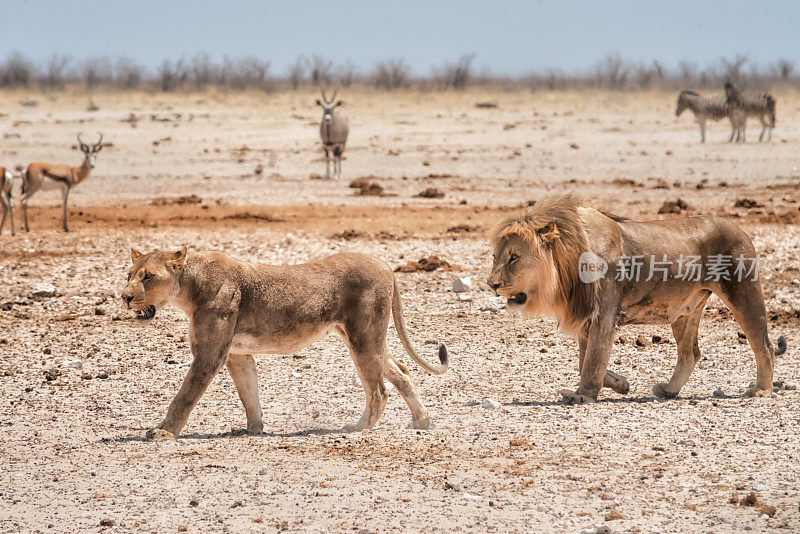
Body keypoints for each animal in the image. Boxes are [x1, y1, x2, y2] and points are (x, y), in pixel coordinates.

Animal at [125, 249, 450, 438]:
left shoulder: (210, 354)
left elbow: (185, 396)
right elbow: (249, 394)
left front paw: (164, 432)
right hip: (363, 337)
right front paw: (253, 429)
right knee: (401, 372)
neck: (187, 290)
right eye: (129, 275)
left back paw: (359, 428)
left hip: (364, 336)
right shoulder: (237, 355)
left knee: (379, 390)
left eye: (149, 276)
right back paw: (421, 421)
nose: (124, 297)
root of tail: (384, 264)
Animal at [484, 197, 784, 406]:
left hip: (743, 293)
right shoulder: (587, 319)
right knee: (690, 353)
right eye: (495, 257)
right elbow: (587, 360)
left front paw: (583, 395)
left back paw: (761, 390)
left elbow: (592, 361)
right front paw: (620, 383)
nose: (492, 284)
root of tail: (740, 228)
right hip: (686, 310)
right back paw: (669, 390)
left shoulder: (603, 315)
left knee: (764, 346)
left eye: (514, 258)